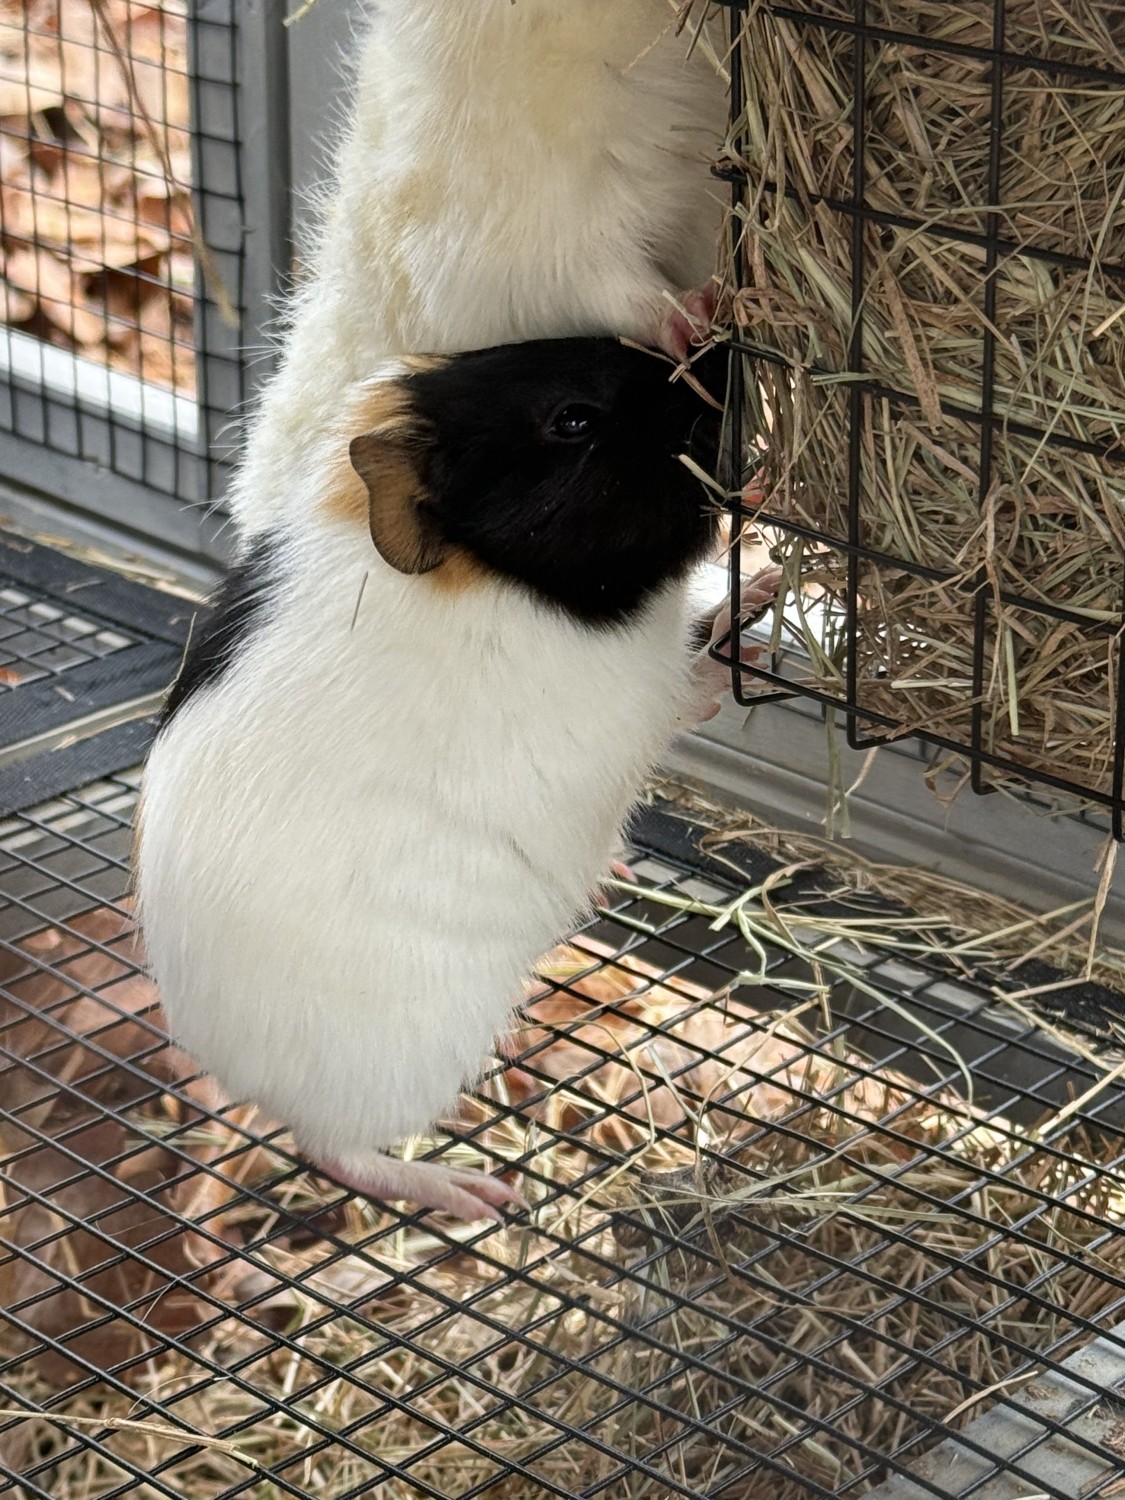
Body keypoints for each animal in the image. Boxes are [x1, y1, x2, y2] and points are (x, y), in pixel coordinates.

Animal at [137, 338, 749, 1222]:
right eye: (573, 420)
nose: (722, 358)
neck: (495, 575)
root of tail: (236, 1068)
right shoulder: (649, 691)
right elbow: (697, 681)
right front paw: (757, 604)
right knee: (336, 1153)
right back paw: (475, 1195)